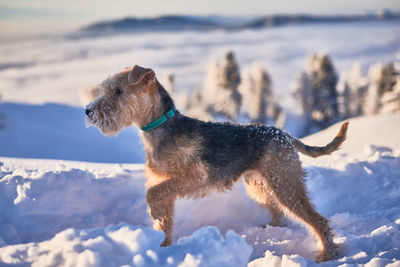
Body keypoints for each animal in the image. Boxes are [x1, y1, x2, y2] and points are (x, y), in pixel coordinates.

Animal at [86, 65, 348, 264]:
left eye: (118, 90)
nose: (88, 111)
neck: (160, 127)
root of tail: (284, 135)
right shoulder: (164, 182)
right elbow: (163, 217)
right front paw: (162, 246)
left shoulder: (195, 177)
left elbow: (154, 194)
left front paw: (155, 215)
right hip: (261, 185)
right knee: (279, 213)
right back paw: (270, 229)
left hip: (285, 185)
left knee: (318, 220)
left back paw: (327, 254)